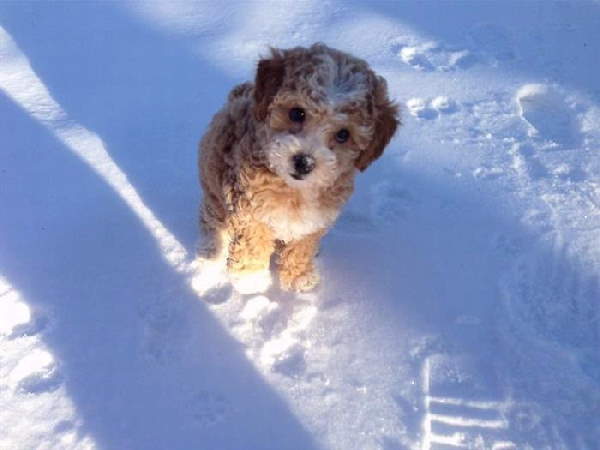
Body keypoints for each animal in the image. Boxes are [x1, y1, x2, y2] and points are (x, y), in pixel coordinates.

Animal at [199, 43, 400, 296]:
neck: (294, 189)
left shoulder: (315, 219)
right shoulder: (248, 205)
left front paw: (299, 276)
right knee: (212, 220)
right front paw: (250, 279)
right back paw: (209, 252)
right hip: (213, 186)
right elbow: (253, 240)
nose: (304, 163)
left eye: (343, 135)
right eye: (297, 113)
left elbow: (302, 246)